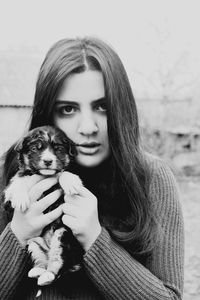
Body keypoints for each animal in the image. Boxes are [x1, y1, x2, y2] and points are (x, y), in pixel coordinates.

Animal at [4, 125, 83, 288]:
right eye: (35, 148)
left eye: (58, 149)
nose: (47, 161)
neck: (44, 175)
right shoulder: (12, 190)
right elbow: (18, 180)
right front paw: (20, 199)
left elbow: (61, 173)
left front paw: (71, 181)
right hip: (33, 243)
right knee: (41, 261)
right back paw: (37, 271)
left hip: (62, 236)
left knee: (57, 264)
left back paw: (48, 275)